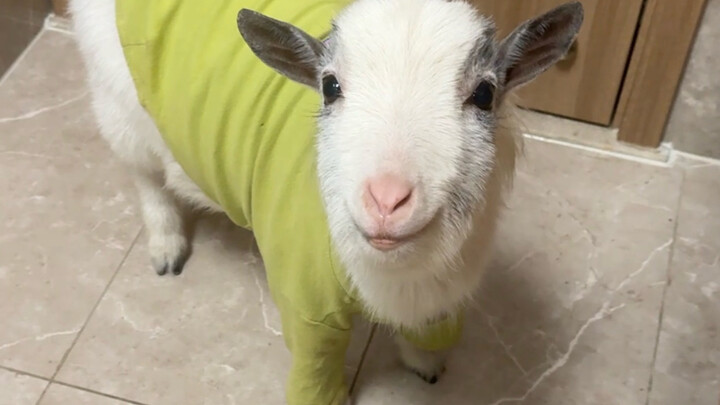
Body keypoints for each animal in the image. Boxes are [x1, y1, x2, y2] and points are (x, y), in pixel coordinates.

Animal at [69, 0, 583, 404]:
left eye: (485, 93)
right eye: (330, 86)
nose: (387, 200)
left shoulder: (444, 291)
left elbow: (427, 333)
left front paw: (424, 363)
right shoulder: (308, 311)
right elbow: (316, 378)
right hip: (116, 101)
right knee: (145, 175)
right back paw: (166, 245)